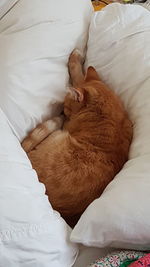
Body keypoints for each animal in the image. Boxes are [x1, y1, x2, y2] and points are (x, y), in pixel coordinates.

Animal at [21, 49, 132, 227]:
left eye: (65, 107)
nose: (63, 112)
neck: (111, 118)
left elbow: (76, 76)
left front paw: (74, 59)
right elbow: (81, 76)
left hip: (56, 136)